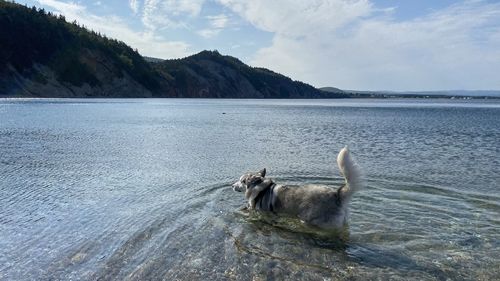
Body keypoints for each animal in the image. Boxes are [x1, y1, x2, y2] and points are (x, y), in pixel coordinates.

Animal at [232, 145, 362, 229]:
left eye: (241, 181)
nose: (232, 185)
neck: (260, 188)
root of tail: (337, 194)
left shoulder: (264, 213)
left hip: (313, 221)